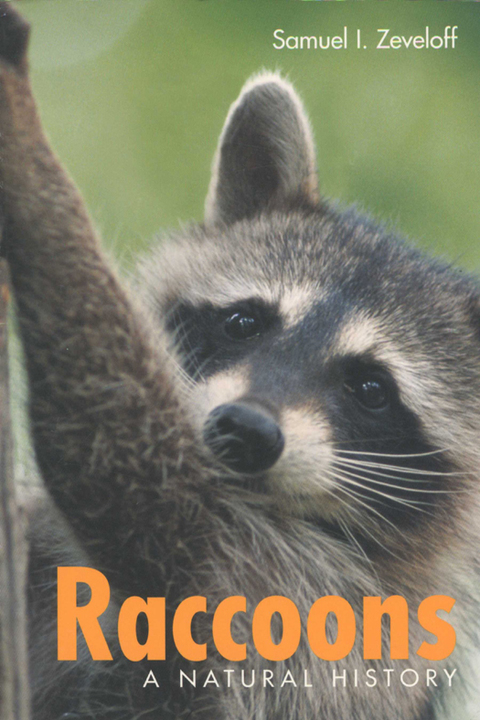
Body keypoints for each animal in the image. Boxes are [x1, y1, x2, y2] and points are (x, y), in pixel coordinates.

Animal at [0, 4, 479, 720]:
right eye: (245, 322)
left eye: (370, 388)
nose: (246, 430)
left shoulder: (289, 597)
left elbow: (123, 462)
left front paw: (29, 152)